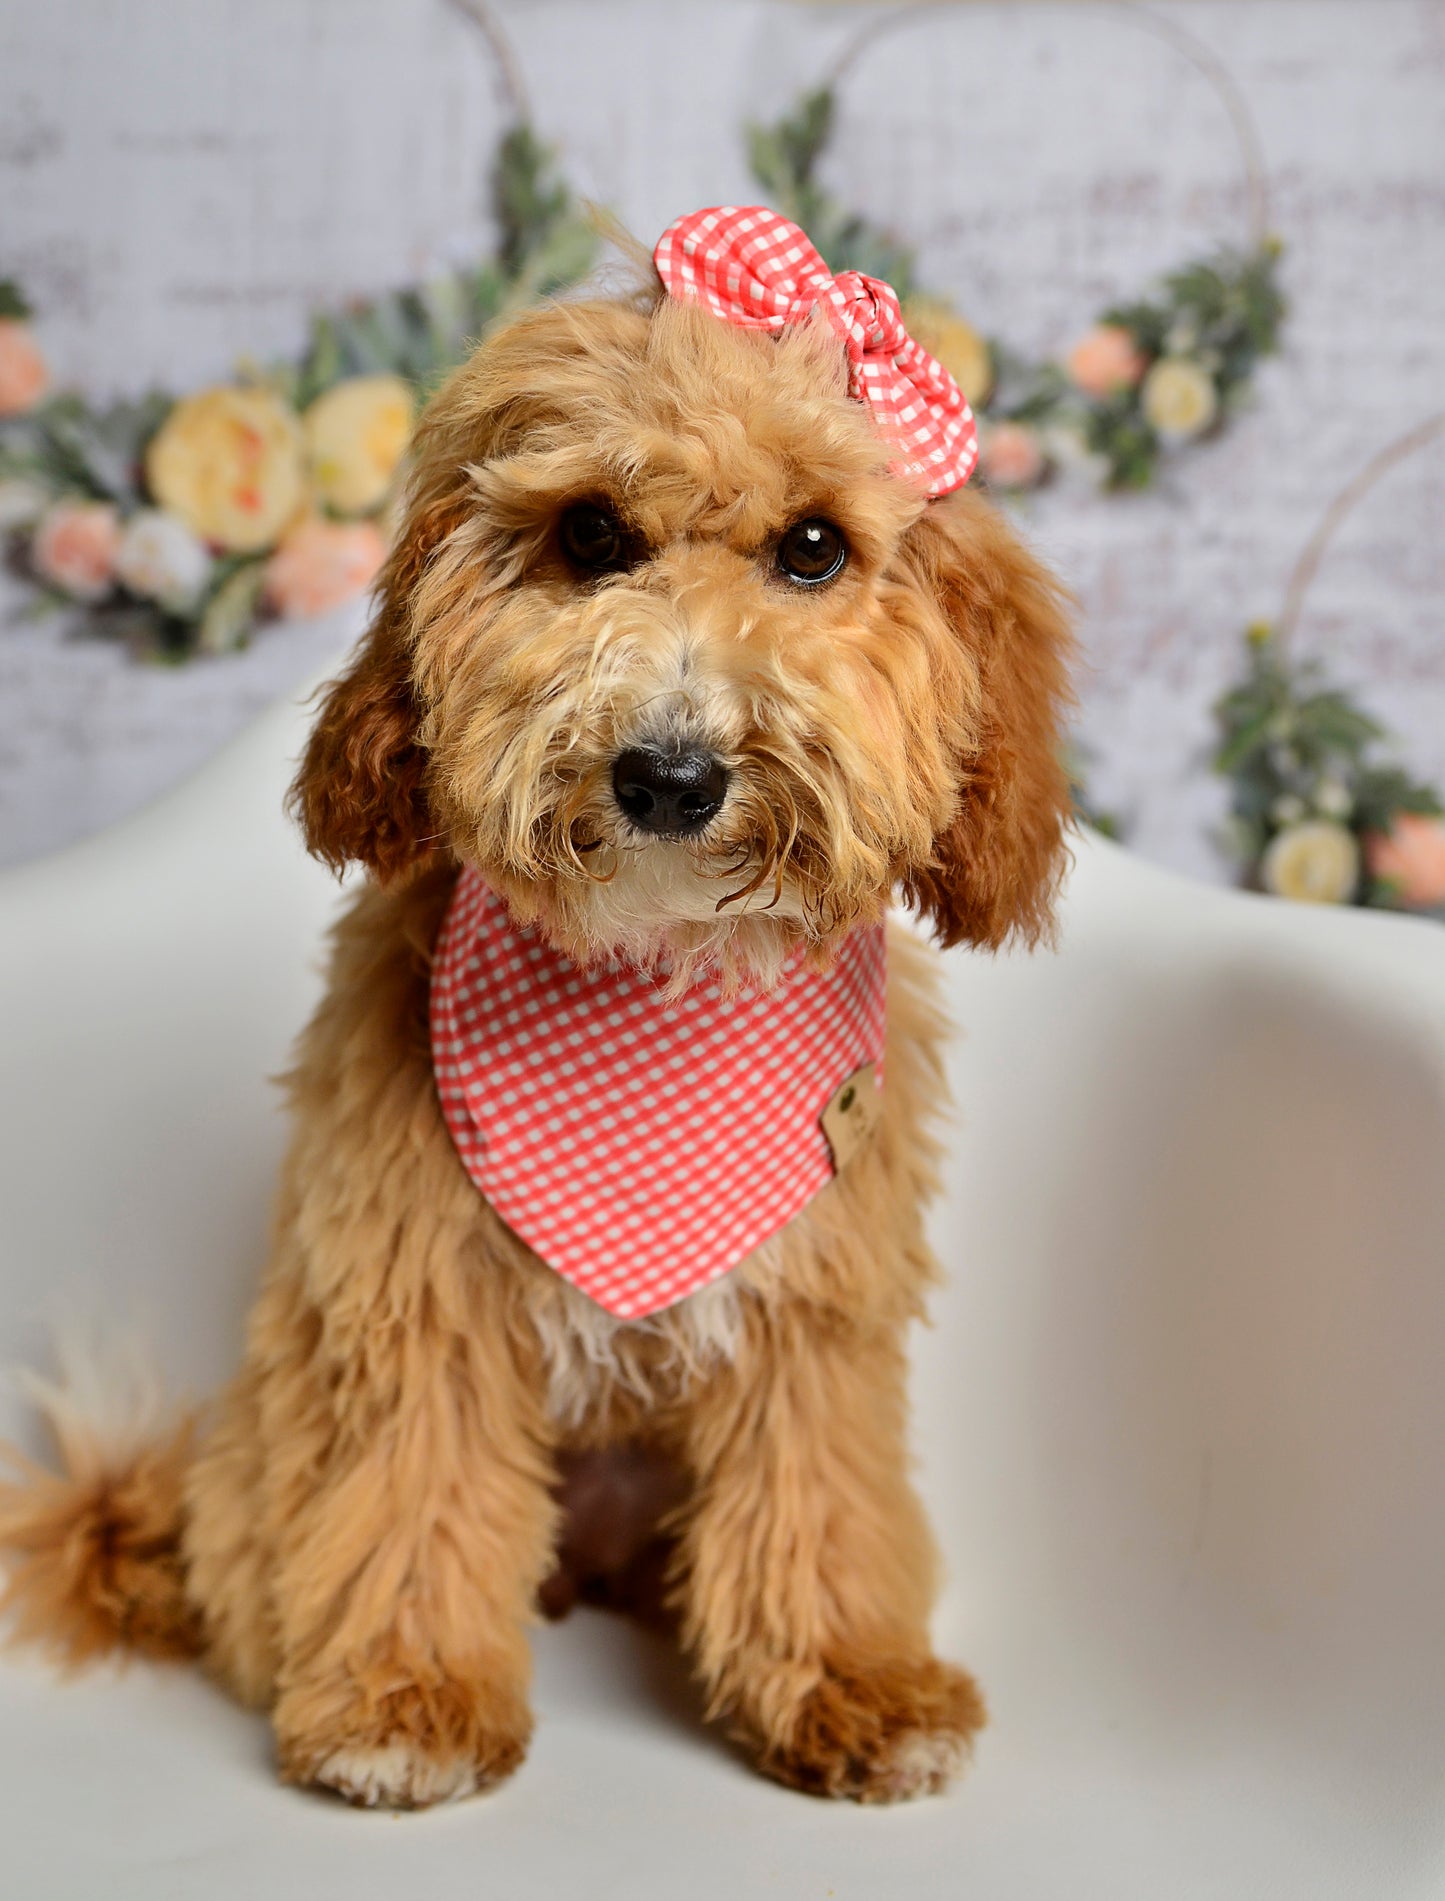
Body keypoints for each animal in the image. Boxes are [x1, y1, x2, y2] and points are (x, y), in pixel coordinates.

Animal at [0, 208, 1072, 1809]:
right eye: (590, 536)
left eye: (814, 547)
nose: (670, 774)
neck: (657, 975)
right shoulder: (414, 1295)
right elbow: (411, 1499)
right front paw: (406, 1701)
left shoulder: (812, 1319)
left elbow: (814, 1501)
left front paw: (850, 1684)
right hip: (272, 1459)